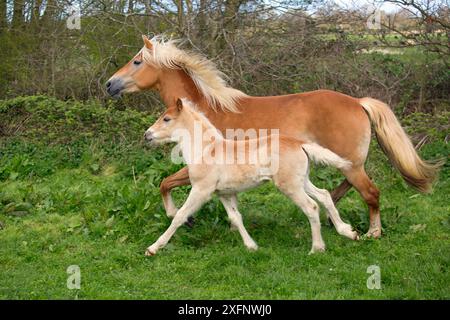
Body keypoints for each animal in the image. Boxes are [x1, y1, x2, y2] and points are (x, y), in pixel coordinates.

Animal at [107, 35, 442, 238]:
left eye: (137, 61)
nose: (110, 84)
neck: (203, 111)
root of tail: (358, 102)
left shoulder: (198, 169)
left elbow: (165, 184)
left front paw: (181, 216)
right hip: (346, 162)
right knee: (345, 189)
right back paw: (333, 218)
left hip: (350, 164)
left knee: (370, 193)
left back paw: (371, 232)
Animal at [144, 98, 358, 255]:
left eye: (166, 119)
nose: (147, 135)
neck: (206, 150)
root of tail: (299, 144)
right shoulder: (224, 193)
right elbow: (236, 217)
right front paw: (251, 246)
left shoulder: (201, 190)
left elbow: (180, 215)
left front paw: (153, 248)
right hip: (302, 181)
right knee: (324, 195)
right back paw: (348, 231)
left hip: (290, 186)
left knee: (311, 207)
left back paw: (317, 248)